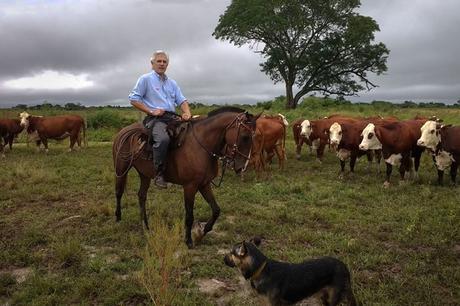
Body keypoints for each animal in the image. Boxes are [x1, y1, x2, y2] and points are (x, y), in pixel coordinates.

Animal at [110, 106, 256, 247]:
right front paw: (188, 240)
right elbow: (189, 215)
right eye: (245, 137)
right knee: (119, 192)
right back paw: (118, 217)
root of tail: (123, 131)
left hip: (144, 174)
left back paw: (145, 226)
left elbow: (216, 210)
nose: (241, 167)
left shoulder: (204, 184)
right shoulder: (190, 186)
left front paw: (201, 232)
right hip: (121, 169)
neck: (201, 145)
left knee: (141, 196)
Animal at [225, 239, 358, 306]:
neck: (261, 269)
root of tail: (344, 266)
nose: (223, 258)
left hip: (333, 297)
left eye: (231, 253)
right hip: (323, 296)